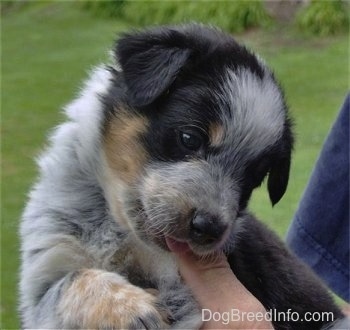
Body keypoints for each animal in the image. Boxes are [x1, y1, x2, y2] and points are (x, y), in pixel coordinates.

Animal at [19, 24, 342, 328]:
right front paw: (134, 309)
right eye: (189, 138)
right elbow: (71, 280)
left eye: (252, 178)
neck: (117, 228)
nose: (210, 228)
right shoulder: (45, 272)